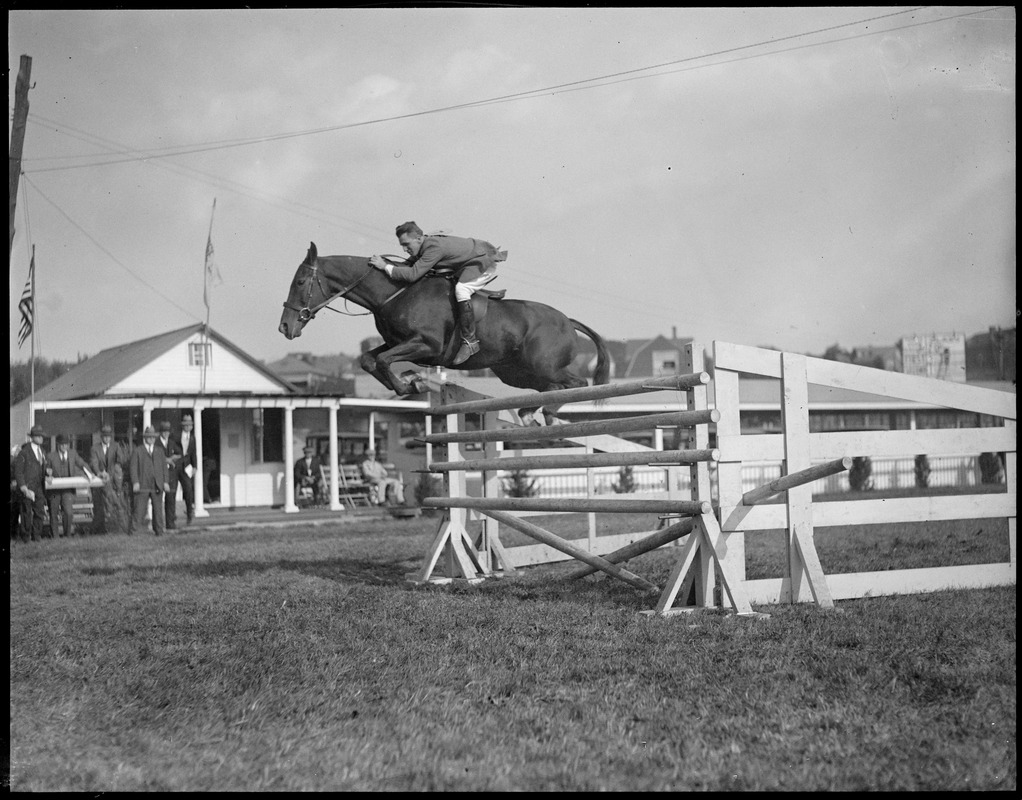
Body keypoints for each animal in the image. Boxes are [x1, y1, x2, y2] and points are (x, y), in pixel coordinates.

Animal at [280, 242, 605, 418]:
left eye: (299, 282)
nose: (285, 327)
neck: (394, 292)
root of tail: (567, 321)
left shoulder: (427, 345)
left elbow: (383, 360)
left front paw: (412, 384)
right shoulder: (399, 342)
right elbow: (370, 360)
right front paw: (409, 383)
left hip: (542, 365)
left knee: (577, 384)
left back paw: (545, 413)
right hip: (516, 373)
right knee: (550, 388)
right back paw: (529, 413)